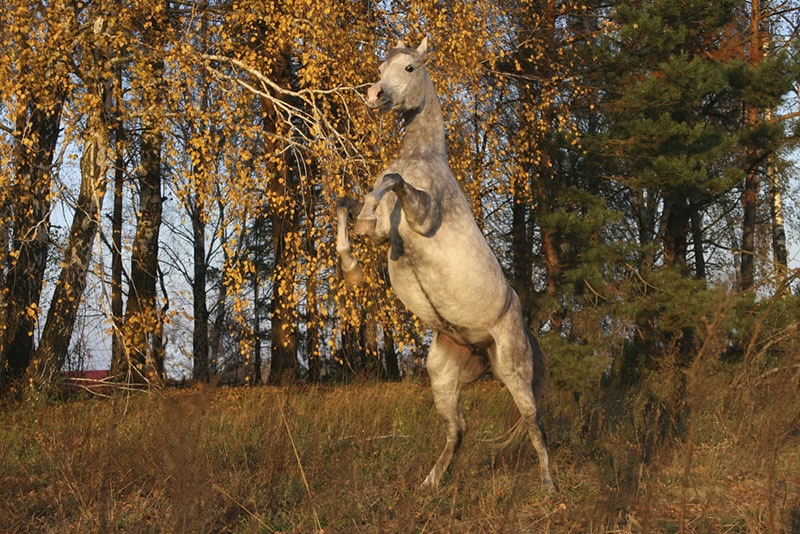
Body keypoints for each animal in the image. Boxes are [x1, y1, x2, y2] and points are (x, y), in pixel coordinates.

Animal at [335, 37, 555, 492]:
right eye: (380, 68)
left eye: (410, 68)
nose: (375, 95)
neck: (421, 159)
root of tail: (482, 348)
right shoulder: (380, 234)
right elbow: (344, 207)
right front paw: (351, 268)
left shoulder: (422, 216)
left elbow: (391, 182)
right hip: (442, 373)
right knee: (459, 429)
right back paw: (429, 484)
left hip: (514, 370)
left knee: (534, 423)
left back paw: (548, 486)